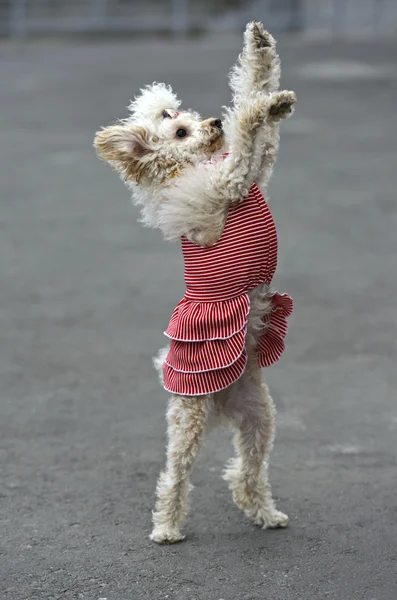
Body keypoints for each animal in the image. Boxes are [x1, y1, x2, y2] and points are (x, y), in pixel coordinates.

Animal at [94, 22, 296, 544]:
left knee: (245, 472)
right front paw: (263, 107)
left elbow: (254, 102)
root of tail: (223, 403)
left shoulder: (256, 169)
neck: (193, 168)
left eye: (183, 116)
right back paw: (167, 527)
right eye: (179, 130)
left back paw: (265, 513)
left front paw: (261, 55)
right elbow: (247, 129)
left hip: (259, 417)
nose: (212, 123)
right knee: (175, 476)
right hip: (189, 416)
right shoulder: (231, 180)